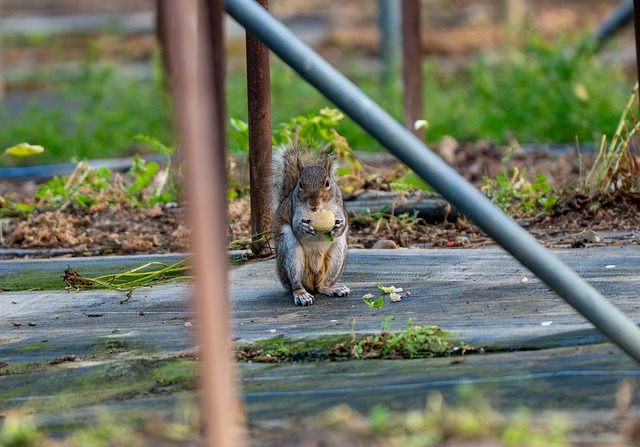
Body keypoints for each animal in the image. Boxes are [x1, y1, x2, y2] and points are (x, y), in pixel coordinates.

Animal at [271, 143, 350, 306]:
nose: (314, 205)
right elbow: (296, 227)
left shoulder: (339, 206)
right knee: (296, 283)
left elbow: (344, 221)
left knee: (322, 286)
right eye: (300, 184)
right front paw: (303, 227)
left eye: (328, 183)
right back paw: (302, 295)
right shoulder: (295, 210)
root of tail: (312, 283)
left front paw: (339, 226)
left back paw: (332, 289)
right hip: (289, 251)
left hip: (338, 253)